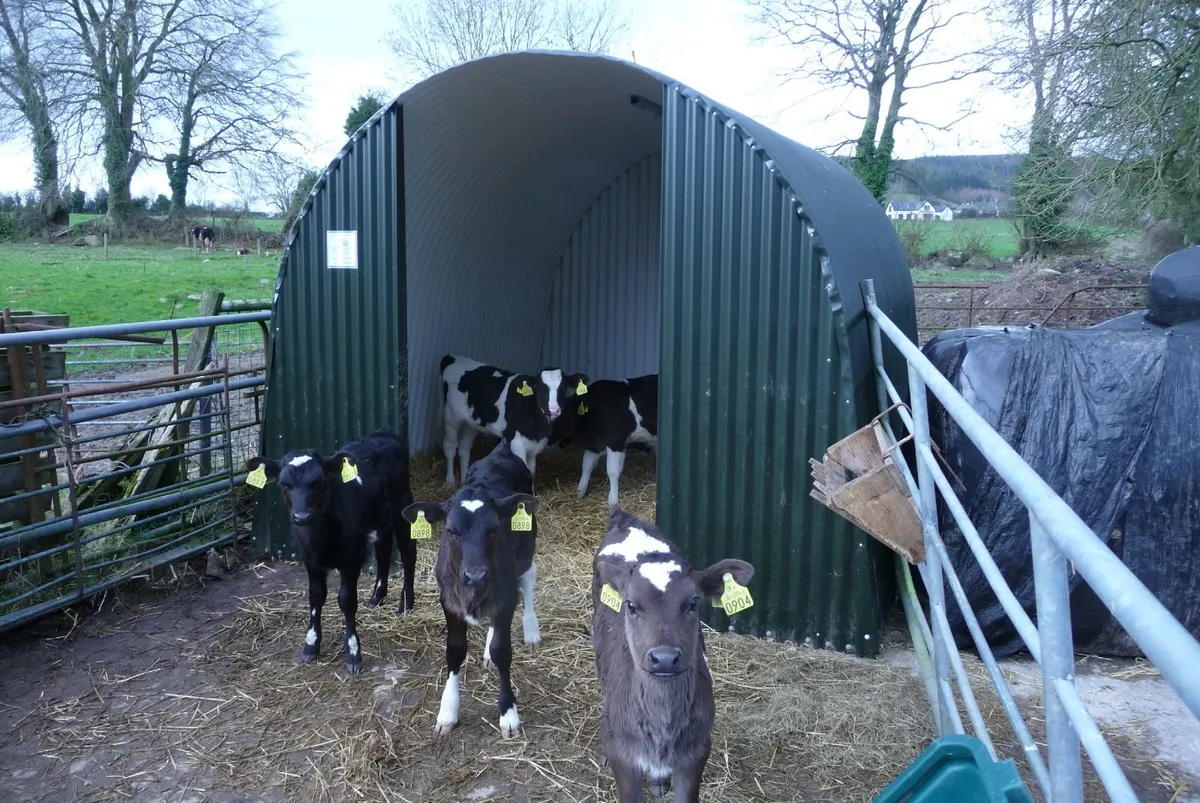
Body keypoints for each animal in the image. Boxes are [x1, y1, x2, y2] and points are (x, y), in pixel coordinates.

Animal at [243, 429, 417, 672]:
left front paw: (353, 652)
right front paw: (311, 645)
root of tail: (384, 434)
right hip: (379, 518)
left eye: (318, 482)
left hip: (402, 506)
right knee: (383, 550)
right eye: (284, 484)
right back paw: (376, 597)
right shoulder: (310, 560)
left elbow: (346, 600)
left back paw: (406, 603)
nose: (301, 517)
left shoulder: (351, 558)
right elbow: (316, 596)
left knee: (408, 552)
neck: (321, 537)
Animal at [400, 439, 542, 739]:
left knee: (529, 578)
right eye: (450, 531)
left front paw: (508, 714)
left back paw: (532, 630)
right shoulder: (449, 602)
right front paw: (447, 711)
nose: (475, 575)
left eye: (495, 528)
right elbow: (455, 651)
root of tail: (500, 450)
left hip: (527, 547)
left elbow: (503, 651)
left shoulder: (506, 596)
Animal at [441, 352, 590, 484]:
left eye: (563, 389)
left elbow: (531, 471)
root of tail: (452, 357)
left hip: (469, 422)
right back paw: (450, 481)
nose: (553, 410)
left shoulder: (534, 444)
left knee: (464, 449)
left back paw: (464, 480)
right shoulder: (516, 441)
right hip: (450, 417)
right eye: (541, 389)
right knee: (450, 447)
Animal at [552, 372, 657, 504]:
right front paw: (580, 492)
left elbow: (612, 471)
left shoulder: (615, 441)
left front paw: (613, 501)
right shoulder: (595, 445)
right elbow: (586, 466)